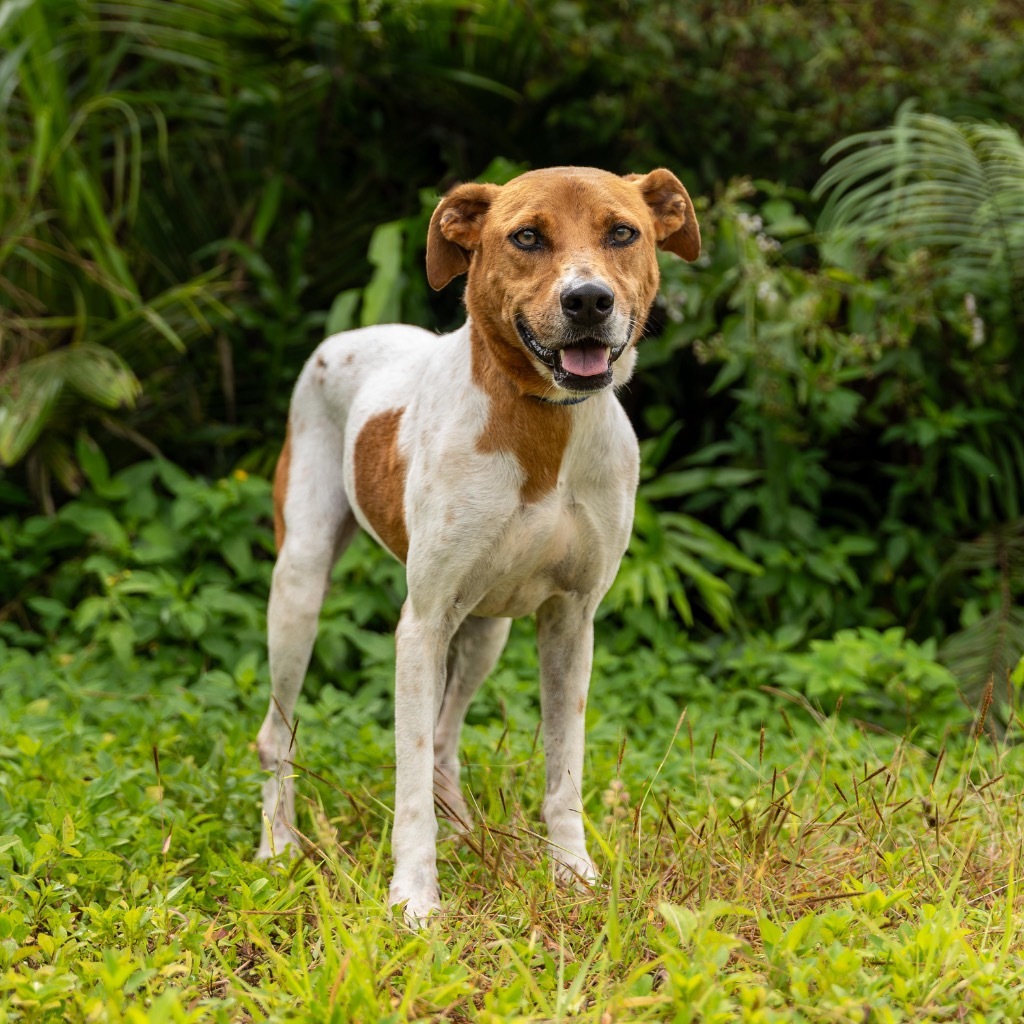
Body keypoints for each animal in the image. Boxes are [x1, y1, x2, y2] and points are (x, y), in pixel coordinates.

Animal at [260, 163, 700, 925]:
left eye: (623, 233)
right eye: (526, 237)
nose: (589, 300)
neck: (542, 425)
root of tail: (352, 333)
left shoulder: (572, 621)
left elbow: (563, 768)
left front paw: (573, 875)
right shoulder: (422, 624)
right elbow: (406, 777)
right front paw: (413, 899)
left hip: (487, 629)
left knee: (443, 740)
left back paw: (466, 834)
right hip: (299, 589)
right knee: (277, 734)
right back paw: (278, 847)